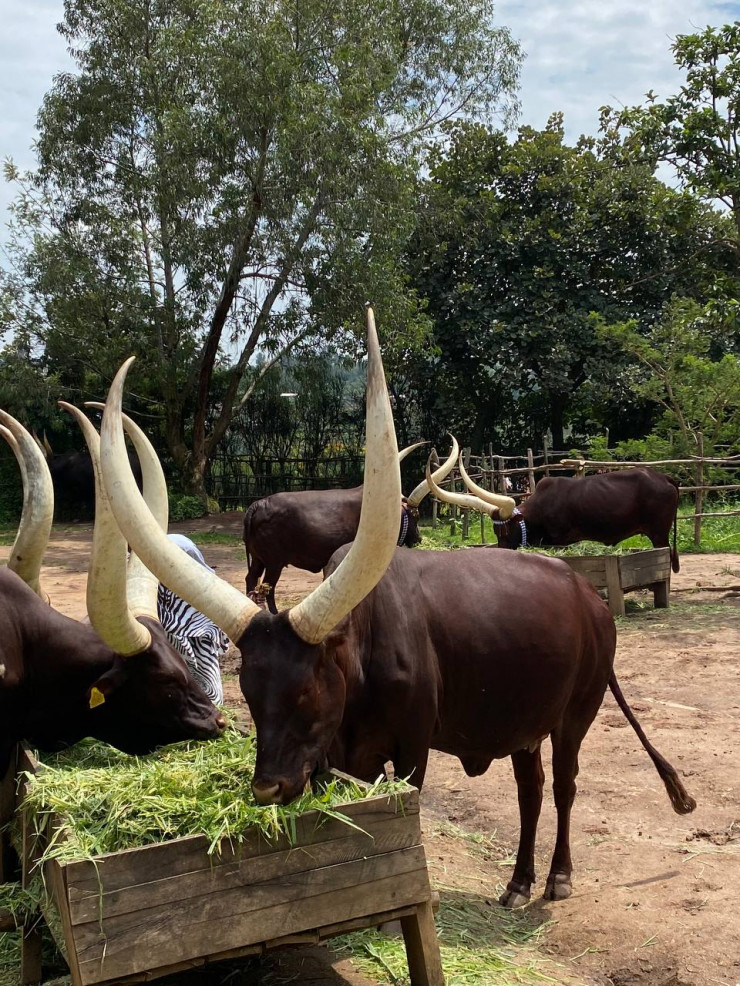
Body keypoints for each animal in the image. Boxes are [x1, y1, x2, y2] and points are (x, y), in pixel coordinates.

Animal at [242, 441, 454, 613]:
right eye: (415, 516)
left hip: (259, 559)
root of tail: (258, 504)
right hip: (274, 562)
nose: (418, 538)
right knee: (267, 589)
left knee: (251, 580)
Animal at [460, 465, 681, 573]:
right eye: (496, 532)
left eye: (507, 530)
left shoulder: (560, 541)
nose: (503, 551)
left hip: (659, 533)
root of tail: (662, 477)